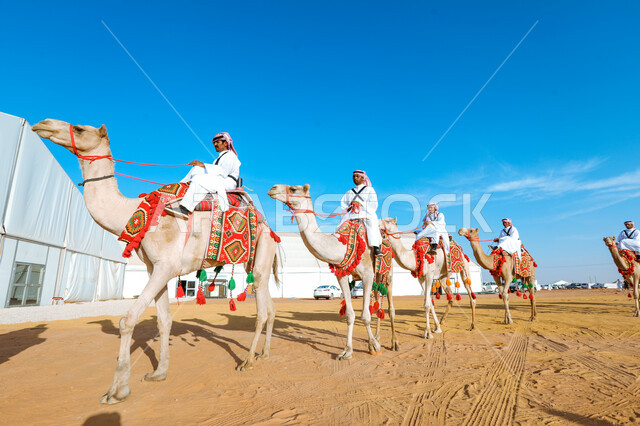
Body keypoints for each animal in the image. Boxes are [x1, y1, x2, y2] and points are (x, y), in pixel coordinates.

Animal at [32, 119, 279, 404]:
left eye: (81, 129)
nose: (43, 124)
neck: (132, 212)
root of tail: (269, 227)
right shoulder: (156, 268)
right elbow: (164, 321)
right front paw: (159, 372)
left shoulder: (165, 266)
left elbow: (128, 320)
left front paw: (117, 391)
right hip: (258, 262)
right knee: (270, 306)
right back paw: (264, 354)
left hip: (261, 256)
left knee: (261, 310)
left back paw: (247, 361)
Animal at [268, 184, 397, 356]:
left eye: (294, 189)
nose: (273, 188)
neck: (342, 246)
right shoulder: (342, 276)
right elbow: (350, 314)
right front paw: (347, 351)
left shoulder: (367, 275)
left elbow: (365, 315)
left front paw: (373, 346)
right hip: (377, 277)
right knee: (377, 303)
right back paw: (378, 337)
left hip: (387, 274)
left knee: (390, 307)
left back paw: (394, 343)